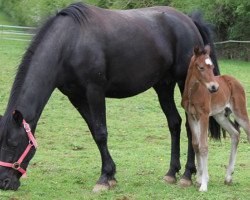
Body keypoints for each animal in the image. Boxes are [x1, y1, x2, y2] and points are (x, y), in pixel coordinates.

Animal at [0, 2, 220, 191]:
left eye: (12, 144)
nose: (4, 182)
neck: (69, 42)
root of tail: (189, 20)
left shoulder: (95, 91)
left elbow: (101, 133)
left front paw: (104, 178)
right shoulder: (76, 97)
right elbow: (94, 131)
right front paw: (111, 174)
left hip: (185, 84)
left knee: (190, 125)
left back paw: (187, 174)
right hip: (163, 86)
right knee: (174, 123)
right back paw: (171, 173)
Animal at [182, 45, 250, 192]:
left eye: (212, 67)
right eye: (201, 67)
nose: (214, 87)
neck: (193, 92)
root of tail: (234, 81)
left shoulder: (204, 116)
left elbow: (204, 146)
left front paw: (204, 184)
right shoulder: (191, 116)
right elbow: (196, 145)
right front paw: (199, 179)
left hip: (240, 112)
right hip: (220, 116)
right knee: (235, 134)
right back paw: (228, 177)